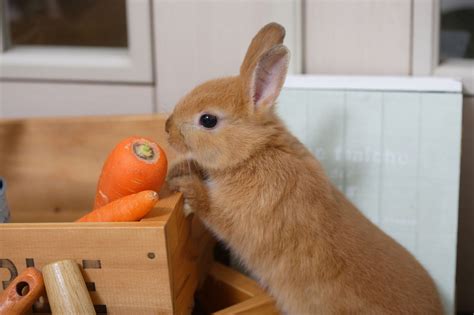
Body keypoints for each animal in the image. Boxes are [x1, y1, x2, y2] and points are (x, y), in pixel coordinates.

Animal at [165, 22, 442, 315]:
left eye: (208, 120)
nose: (167, 128)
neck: (254, 152)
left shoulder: (240, 214)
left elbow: (210, 208)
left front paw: (185, 185)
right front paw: (179, 169)